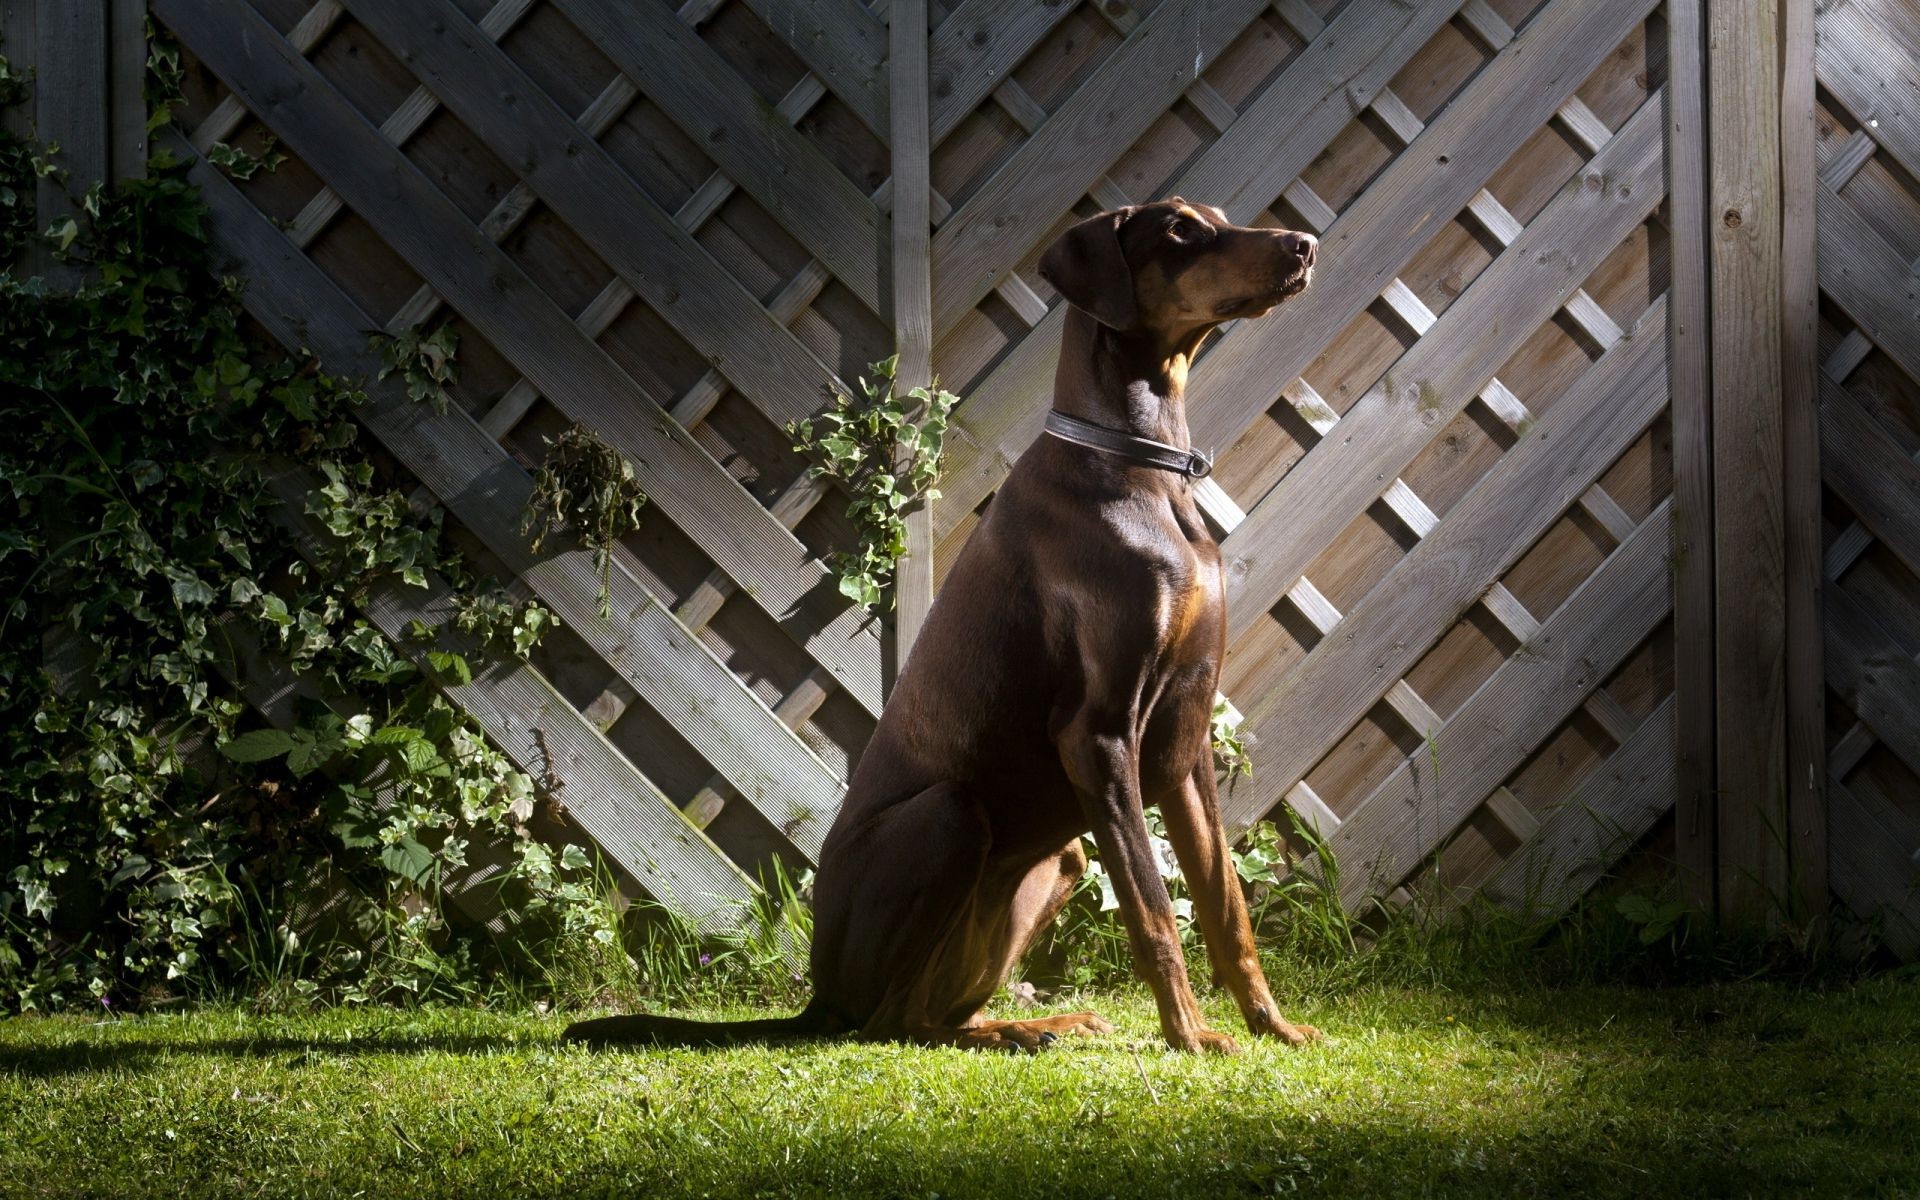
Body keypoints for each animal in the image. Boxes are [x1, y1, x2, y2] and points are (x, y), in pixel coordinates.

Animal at [568, 201, 1320, 1052]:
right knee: (892, 1023)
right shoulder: (1096, 735)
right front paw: (1191, 1037)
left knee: (935, 1010)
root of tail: (818, 996)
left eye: (1219, 220)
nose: (1304, 245)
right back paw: (1015, 1032)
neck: (1142, 467)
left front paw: (1273, 1027)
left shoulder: (1183, 741)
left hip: (1060, 861)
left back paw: (1037, 1022)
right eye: (1183, 231)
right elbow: (1155, 910)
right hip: (951, 817)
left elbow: (1227, 907)